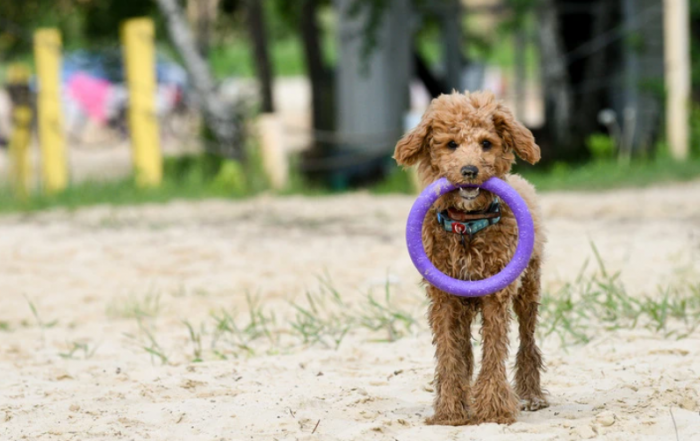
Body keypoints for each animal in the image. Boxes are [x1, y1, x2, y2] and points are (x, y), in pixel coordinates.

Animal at [394, 91, 548, 424]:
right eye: (451, 144)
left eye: (486, 143)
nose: (469, 171)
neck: (465, 226)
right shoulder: (443, 299)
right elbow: (450, 352)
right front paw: (450, 410)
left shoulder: (496, 295)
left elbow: (494, 349)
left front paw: (493, 409)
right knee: (464, 348)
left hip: (528, 289)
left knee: (527, 339)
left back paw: (531, 396)